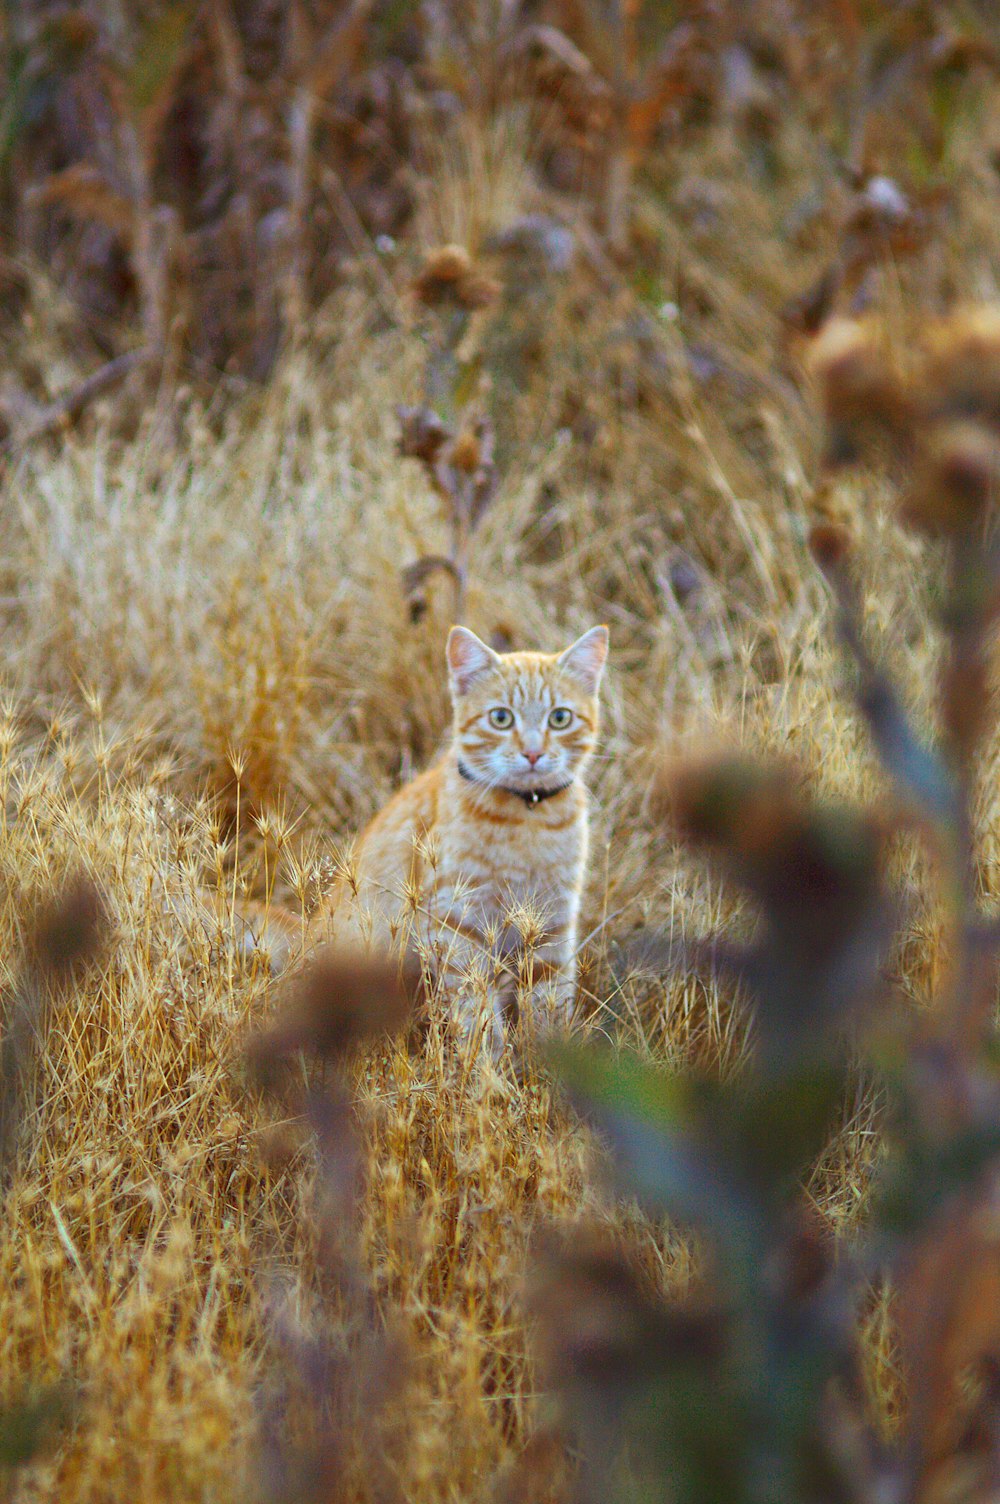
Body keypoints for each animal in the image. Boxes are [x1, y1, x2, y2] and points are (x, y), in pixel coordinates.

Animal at [306, 628, 607, 1052]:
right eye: (501, 718)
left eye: (560, 718)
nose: (533, 753)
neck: (527, 817)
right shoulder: (457, 926)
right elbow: (477, 1015)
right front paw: (488, 1065)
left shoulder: (552, 927)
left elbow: (550, 1010)